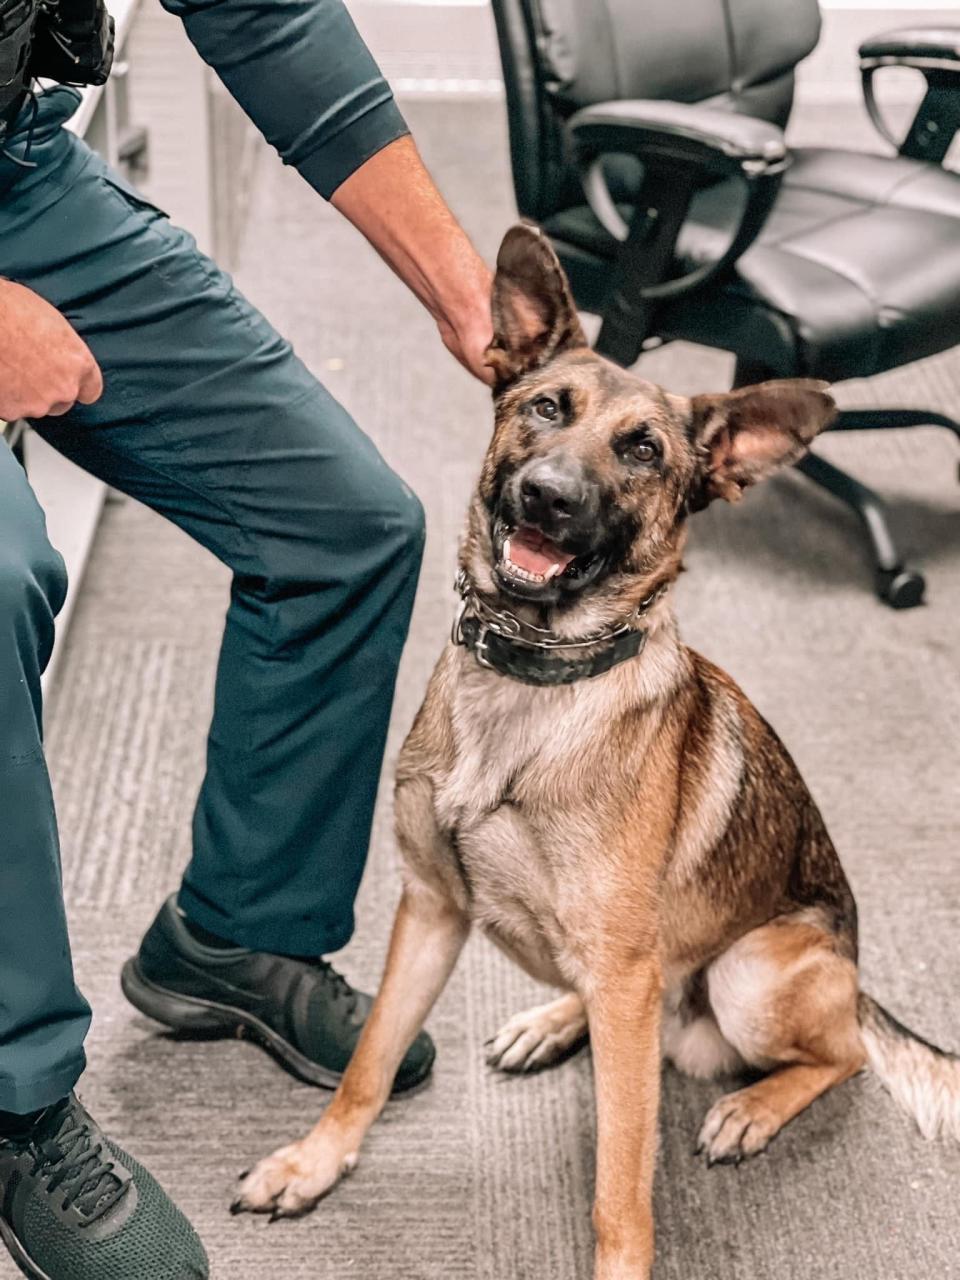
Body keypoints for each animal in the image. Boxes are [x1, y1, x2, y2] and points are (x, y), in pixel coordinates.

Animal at [235, 225, 960, 1274]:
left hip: (748, 974)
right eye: (546, 408)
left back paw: (750, 1105)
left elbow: (621, 1184)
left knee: (840, 1054)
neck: (534, 684)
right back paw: (553, 1022)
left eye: (643, 450)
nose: (547, 497)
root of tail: (858, 977)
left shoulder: (618, 980)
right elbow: (368, 1061)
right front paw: (314, 1162)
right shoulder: (431, 909)